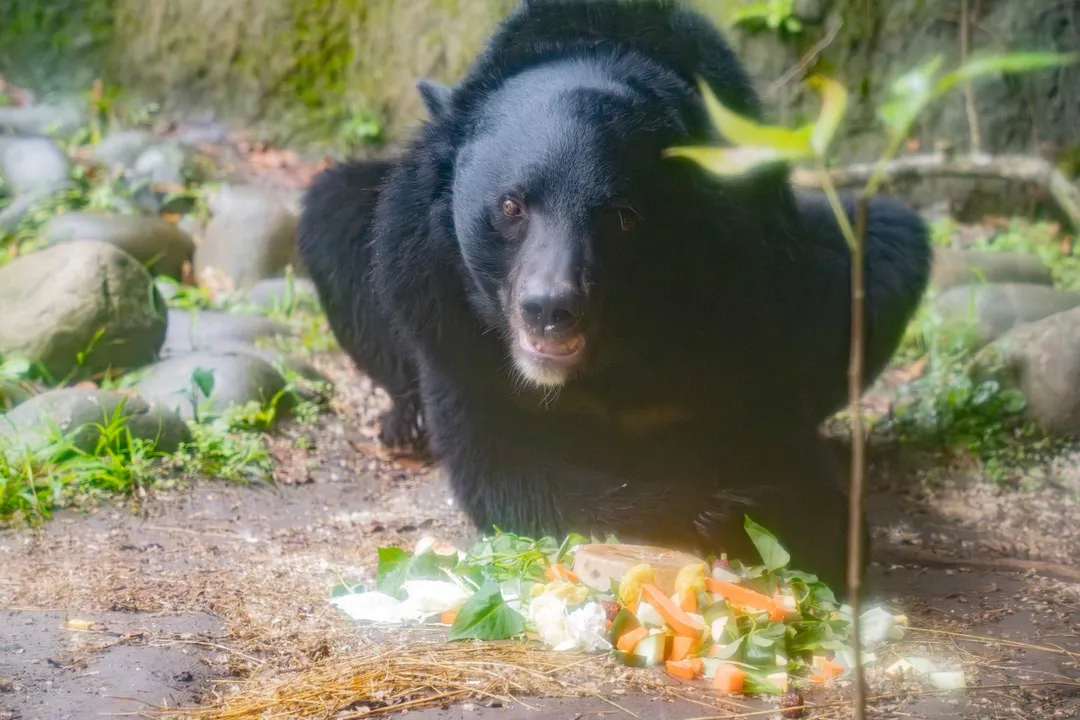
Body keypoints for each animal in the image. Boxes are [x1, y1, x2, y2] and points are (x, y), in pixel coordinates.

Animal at [298, 0, 932, 592]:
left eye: (622, 218)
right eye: (511, 205)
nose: (550, 310)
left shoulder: (745, 303)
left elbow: (798, 469)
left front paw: (752, 514)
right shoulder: (448, 322)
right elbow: (511, 472)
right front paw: (702, 509)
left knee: (889, 238)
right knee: (333, 211)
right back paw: (404, 424)